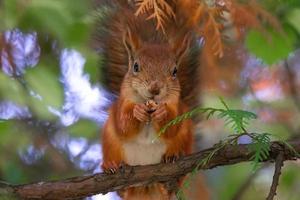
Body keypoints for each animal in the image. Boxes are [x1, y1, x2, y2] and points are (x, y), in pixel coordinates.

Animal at [96, 0, 206, 199]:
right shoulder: (120, 106)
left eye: (175, 71)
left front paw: (162, 112)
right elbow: (123, 124)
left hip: (185, 142)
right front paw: (137, 111)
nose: (155, 89)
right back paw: (113, 169)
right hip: (111, 145)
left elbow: (172, 127)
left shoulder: (179, 108)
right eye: (136, 66)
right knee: (124, 189)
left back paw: (169, 175)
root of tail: (145, 188)